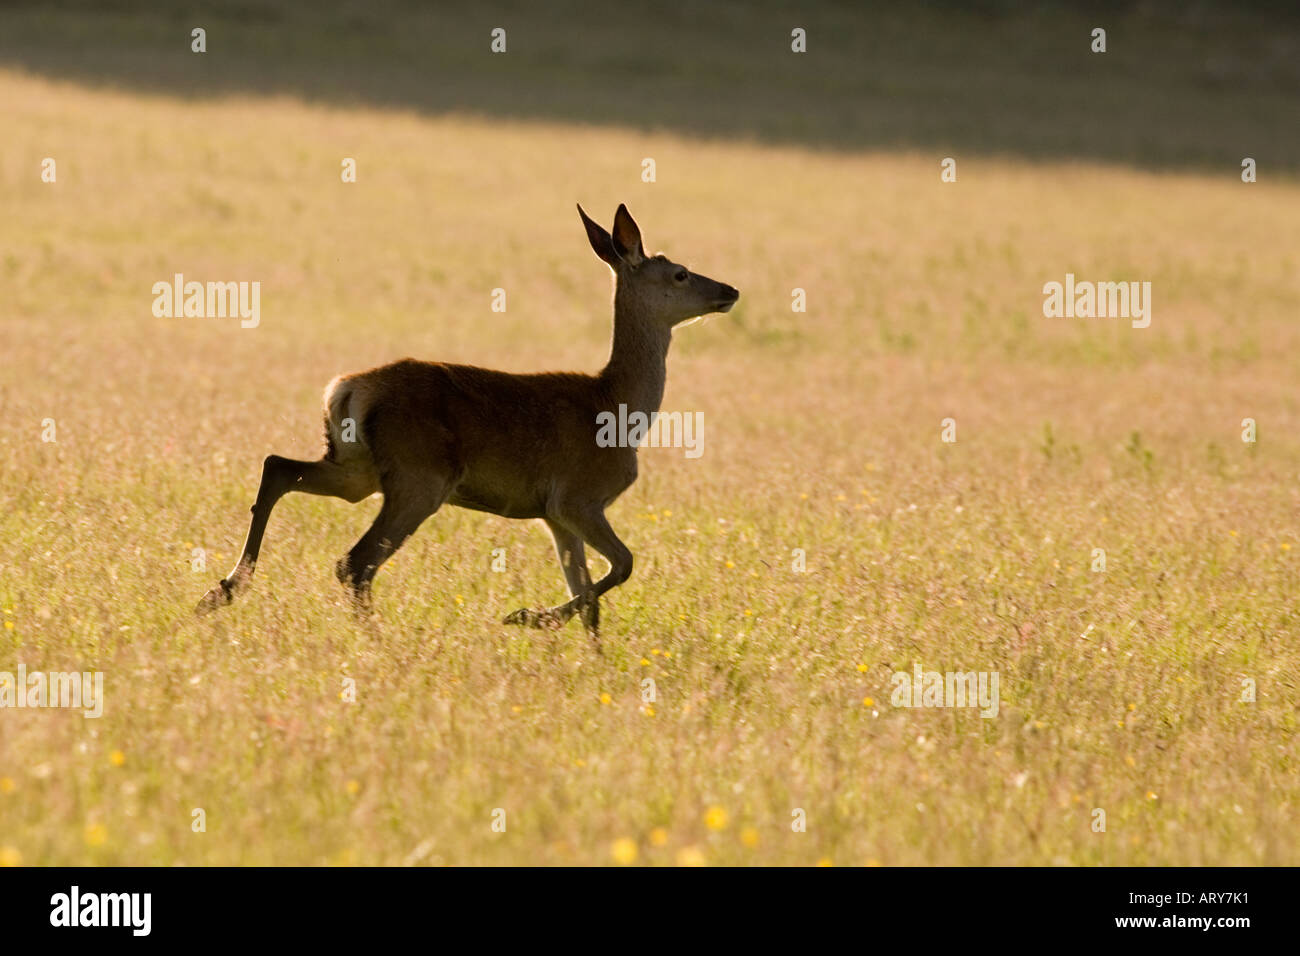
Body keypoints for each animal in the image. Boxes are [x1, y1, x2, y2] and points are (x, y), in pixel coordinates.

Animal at [196, 204, 739, 637]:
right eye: (681, 274)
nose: (730, 290)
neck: (617, 410)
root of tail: (347, 388)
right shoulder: (577, 497)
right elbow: (623, 565)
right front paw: (527, 617)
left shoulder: (554, 513)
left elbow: (589, 599)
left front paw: (586, 654)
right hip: (421, 477)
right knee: (355, 562)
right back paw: (377, 641)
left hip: (357, 468)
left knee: (278, 466)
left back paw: (223, 589)